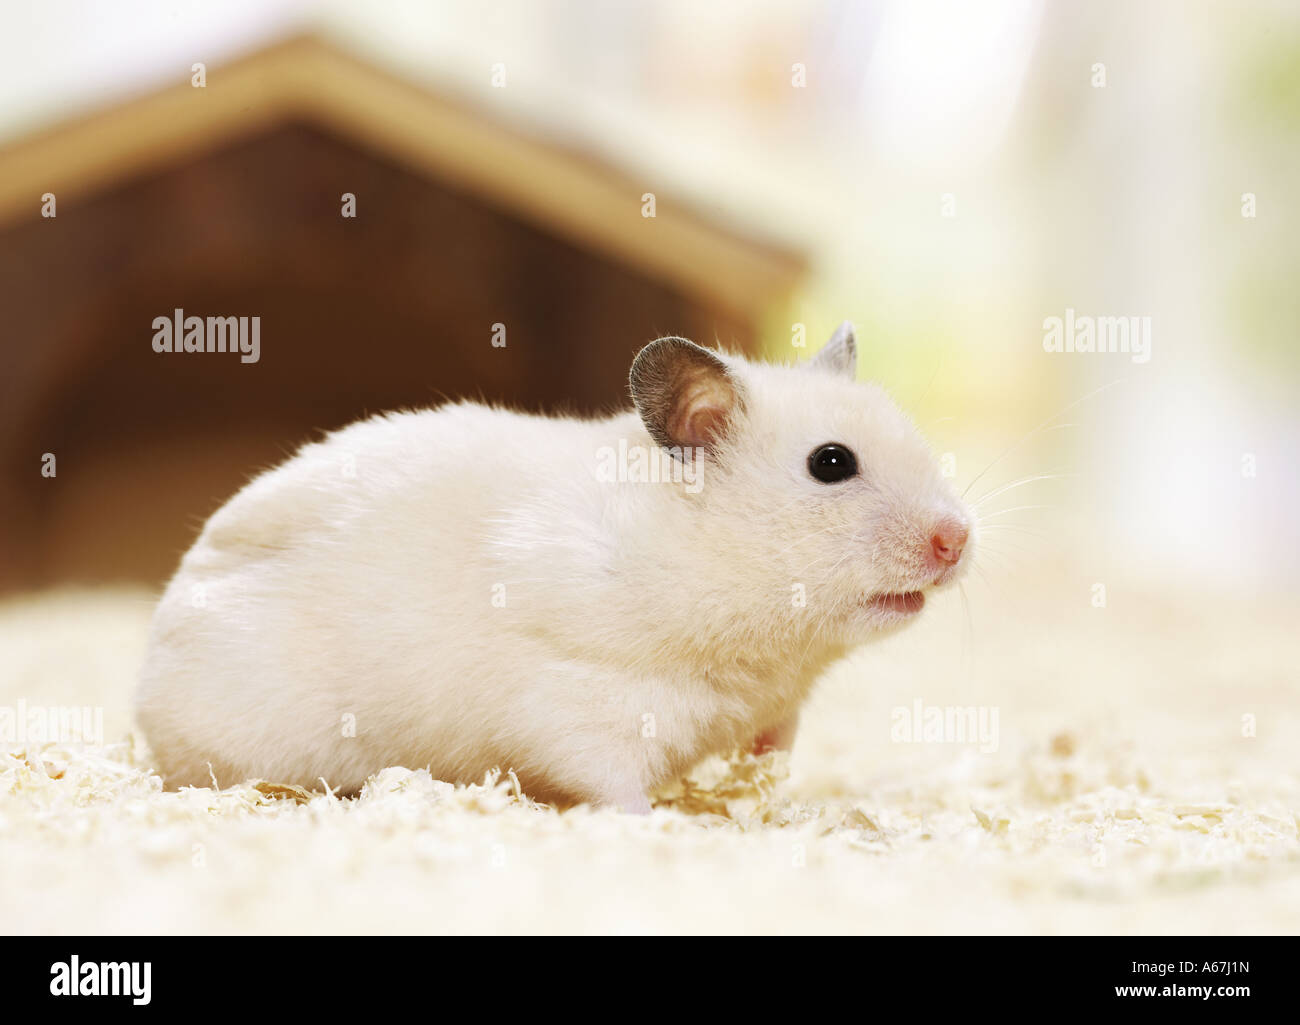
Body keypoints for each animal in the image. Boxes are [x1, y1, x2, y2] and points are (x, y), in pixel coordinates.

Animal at [134, 323, 972, 811]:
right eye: (831, 463)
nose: (960, 539)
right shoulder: (579, 703)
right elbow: (612, 779)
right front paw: (658, 825)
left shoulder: (778, 703)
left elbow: (777, 742)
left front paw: (762, 791)